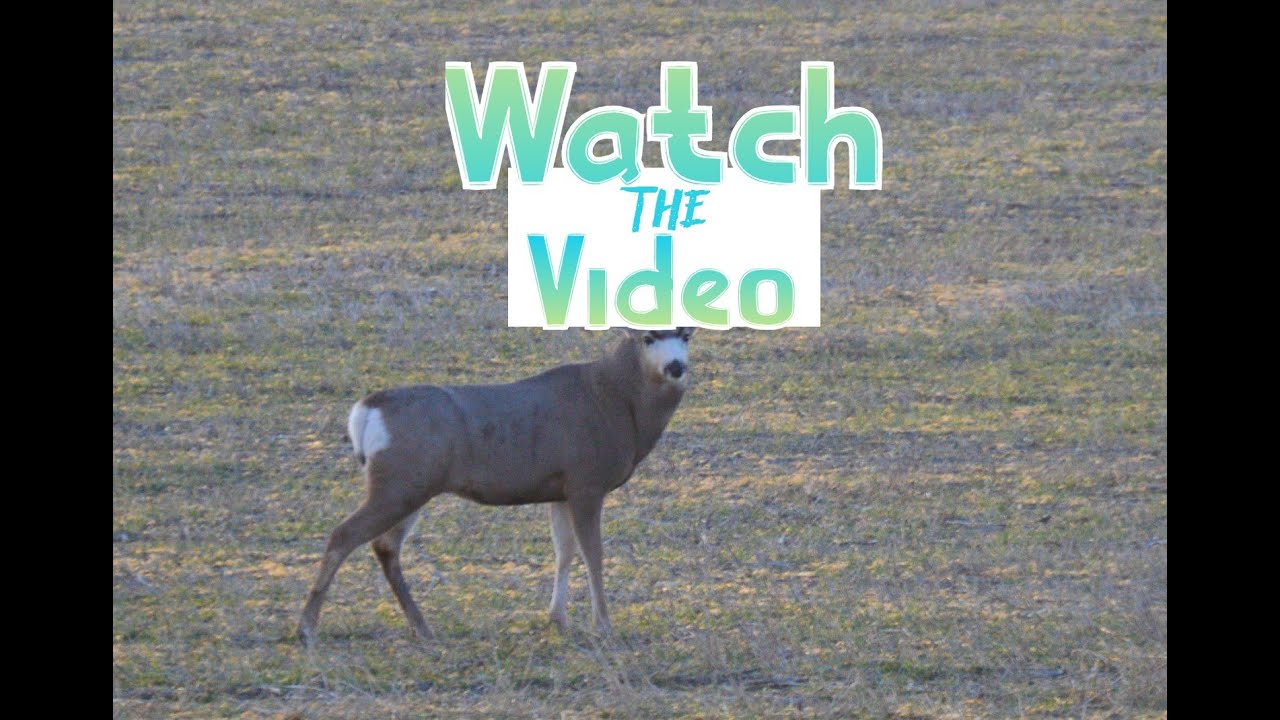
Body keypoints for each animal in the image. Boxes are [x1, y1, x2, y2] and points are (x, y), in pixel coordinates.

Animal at [298, 327, 697, 647]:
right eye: (648, 337)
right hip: (399, 482)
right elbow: (593, 554)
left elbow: (563, 552)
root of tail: (365, 409)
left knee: (385, 546)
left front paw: (558, 619)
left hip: (411, 486)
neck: (617, 403)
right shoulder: (587, 480)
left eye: (686, 334)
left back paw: (423, 628)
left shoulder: (561, 489)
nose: (676, 366)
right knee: (344, 535)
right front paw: (604, 626)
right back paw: (307, 629)